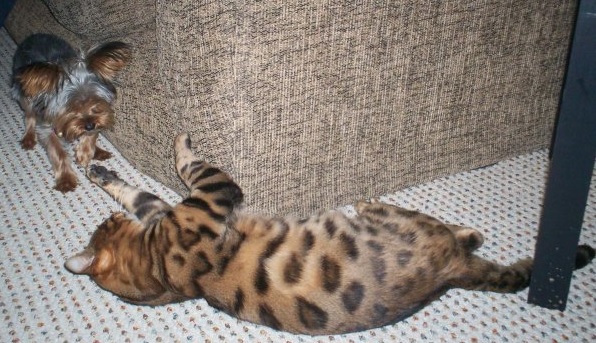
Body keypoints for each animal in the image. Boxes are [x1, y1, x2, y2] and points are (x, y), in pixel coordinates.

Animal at [11, 33, 132, 194]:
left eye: (95, 103)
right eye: (70, 108)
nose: (89, 126)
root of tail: (34, 36)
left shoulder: (99, 117)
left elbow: (94, 132)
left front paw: (85, 152)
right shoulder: (46, 125)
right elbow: (58, 152)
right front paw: (66, 179)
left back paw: (98, 151)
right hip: (24, 93)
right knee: (29, 115)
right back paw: (28, 138)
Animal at [66, 134, 596, 336]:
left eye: (102, 225)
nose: (103, 220)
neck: (161, 273)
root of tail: (450, 274)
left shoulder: (169, 211)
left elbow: (139, 190)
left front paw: (98, 169)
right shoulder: (209, 200)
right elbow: (188, 165)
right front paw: (177, 142)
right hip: (408, 223)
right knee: (436, 227)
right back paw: (374, 203)